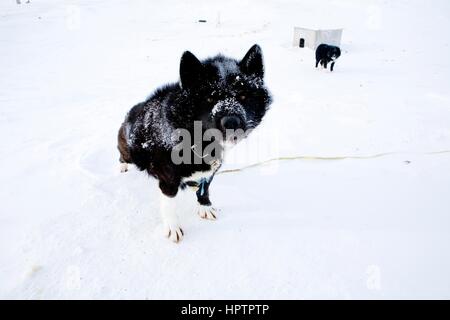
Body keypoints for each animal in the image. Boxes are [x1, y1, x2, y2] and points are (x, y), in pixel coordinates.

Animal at [118, 44, 272, 242]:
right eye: (209, 99)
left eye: (243, 96)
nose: (231, 123)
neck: (195, 140)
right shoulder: (168, 180)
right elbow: (169, 204)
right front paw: (172, 227)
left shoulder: (210, 171)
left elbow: (205, 189)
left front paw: (204, 206)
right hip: (129, 152)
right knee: (122, 156)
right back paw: (122, 166)